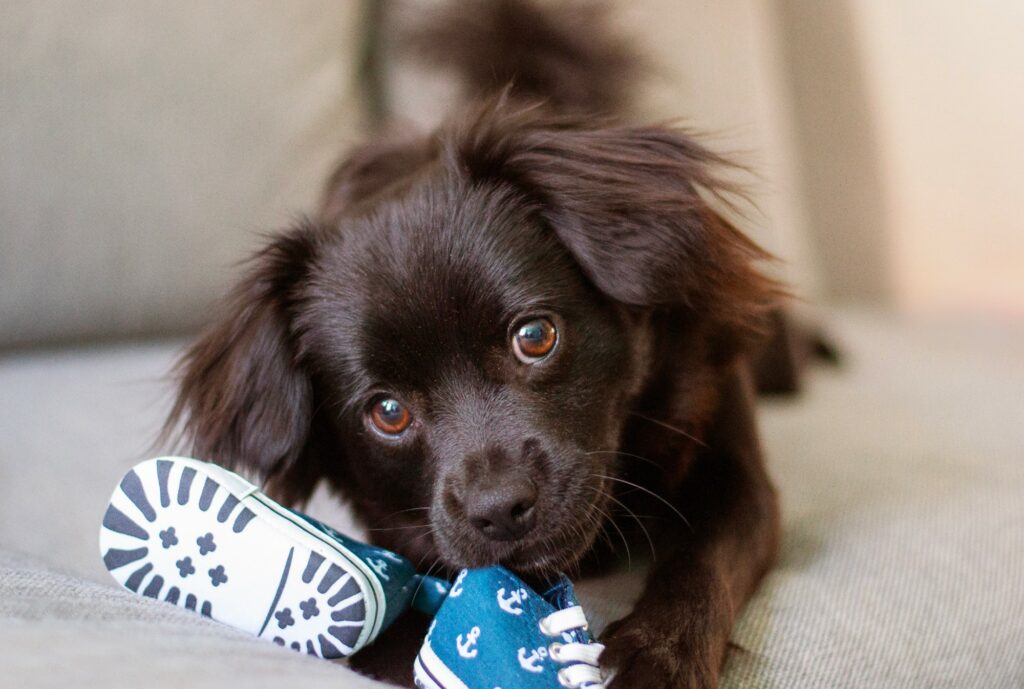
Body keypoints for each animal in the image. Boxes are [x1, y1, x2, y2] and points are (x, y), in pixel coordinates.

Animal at [167, 2, 786, 683]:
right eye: (387, 411)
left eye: (535, 337)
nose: (499, 507)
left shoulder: (736, 468)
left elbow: (705, 559)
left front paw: (659, 654)